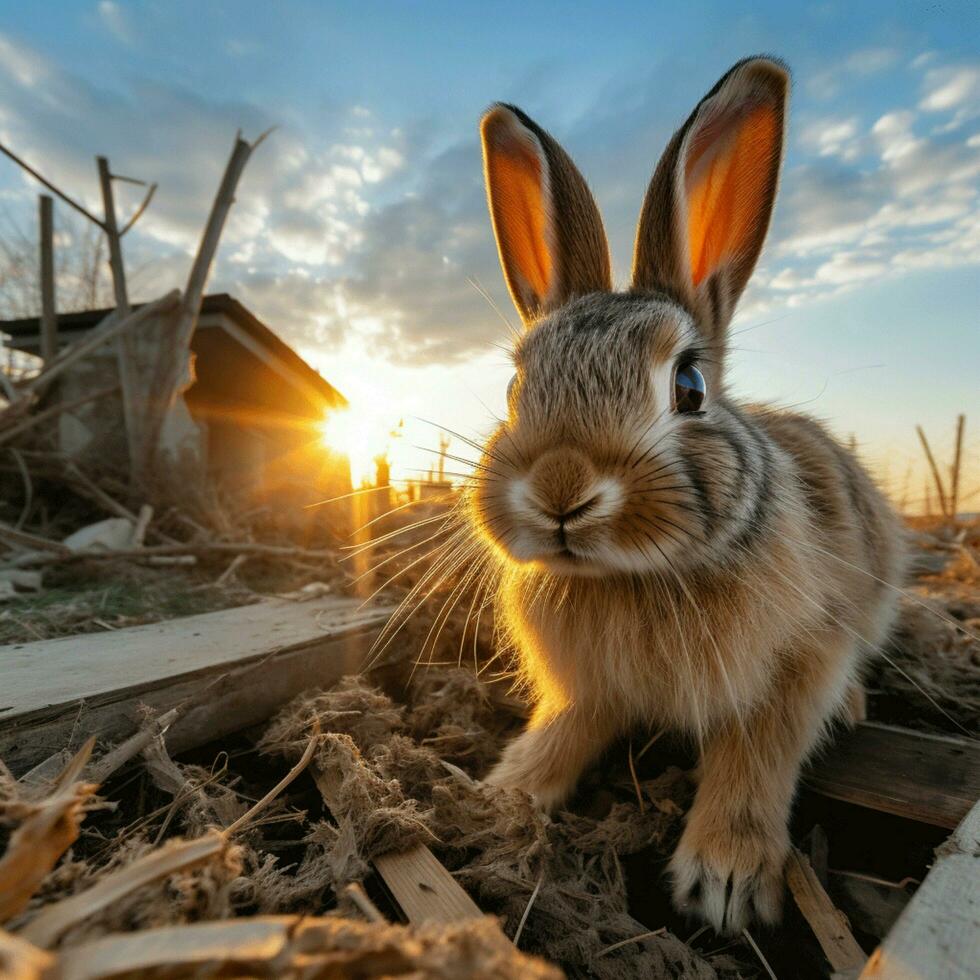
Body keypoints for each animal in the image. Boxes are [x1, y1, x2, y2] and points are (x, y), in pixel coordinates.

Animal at [470, 57, 908, 936]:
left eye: (690, 386)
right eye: (513, 388)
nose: (562, 490)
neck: (633, 578)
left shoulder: (794, 665)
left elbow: (757, 755)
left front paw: (725, 877)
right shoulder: (589, 687)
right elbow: (568, 726)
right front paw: (509, 792)